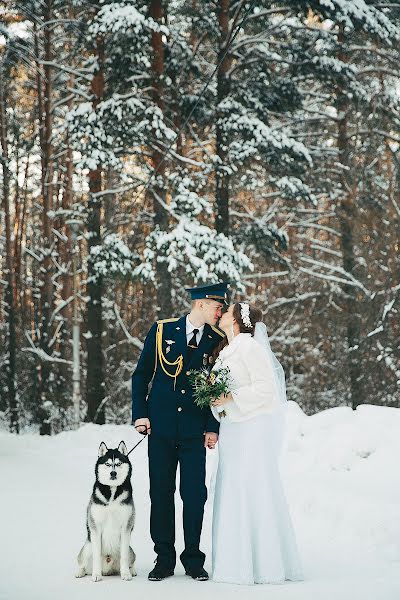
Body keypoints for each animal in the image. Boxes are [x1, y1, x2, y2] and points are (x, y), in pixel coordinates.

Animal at [75, 440, 136, 580]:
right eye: (108, 464)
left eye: (118, 463)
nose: (113, 473)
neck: (112, 492)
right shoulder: (95, 526)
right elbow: (96, 555)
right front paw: (96, 575)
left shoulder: (126, 526)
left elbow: (124, 556)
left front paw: (126, 574)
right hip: (87, 548)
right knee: (82, 562)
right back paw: (80, 572)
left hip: (130, 550)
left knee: (131, 559)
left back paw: (132, 570)